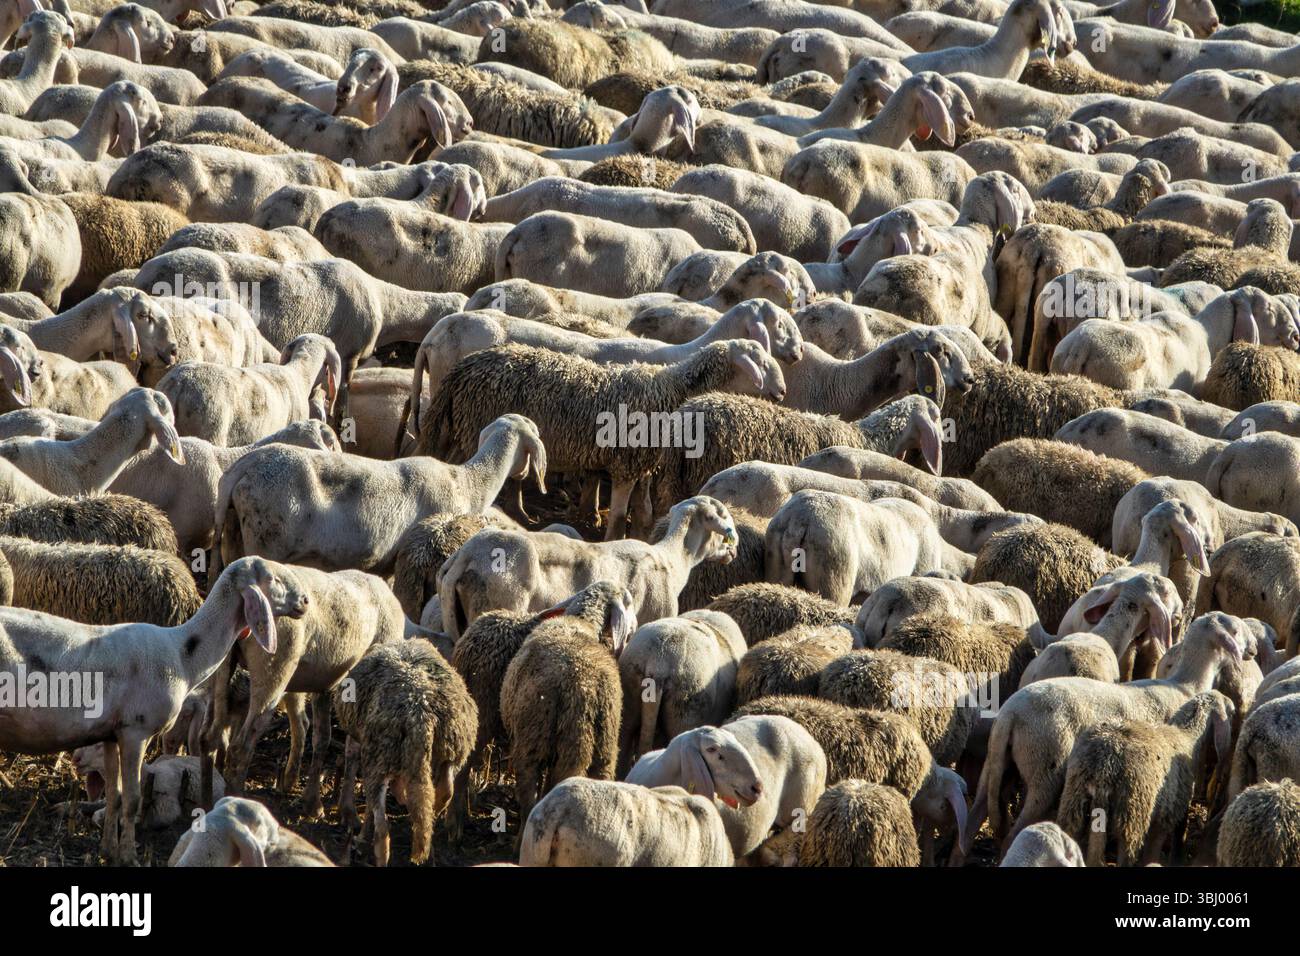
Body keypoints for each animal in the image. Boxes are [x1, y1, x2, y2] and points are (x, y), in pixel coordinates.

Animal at [331, 637, 477, 866]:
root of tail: (421, 715)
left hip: (379, 755)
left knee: (382, 829)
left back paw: (375, 849)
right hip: (453, 747)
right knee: (445, 790)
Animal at [418, 341, 784, 539]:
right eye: (758, 362)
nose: (782, 393)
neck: (668, 394)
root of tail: (462, 369)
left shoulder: (642, 465)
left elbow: (644, 509)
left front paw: (641, 534)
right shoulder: (625, 464)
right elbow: (621, 514)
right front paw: (613, 539)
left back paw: (521, 514)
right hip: (472, 431)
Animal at [437, 496, 739, 640]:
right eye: (723, 518)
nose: (733, 550)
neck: (674, 560)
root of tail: (467, 554)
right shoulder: (656, 614)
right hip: (501, 601)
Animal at [500, 581, 636, 825]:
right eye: (629, 600)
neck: (582, 621)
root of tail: (582, 686)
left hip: (545, 740)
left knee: (532, 792)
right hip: (595, 746)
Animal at [1057, 690, 1234, 865]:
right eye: (1232, 712)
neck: (1188, 737)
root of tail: (1105, 763)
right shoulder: (1168, 813)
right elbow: (1156, 848)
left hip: (1073, 801)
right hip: (1134, 810)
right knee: (1126, 853)